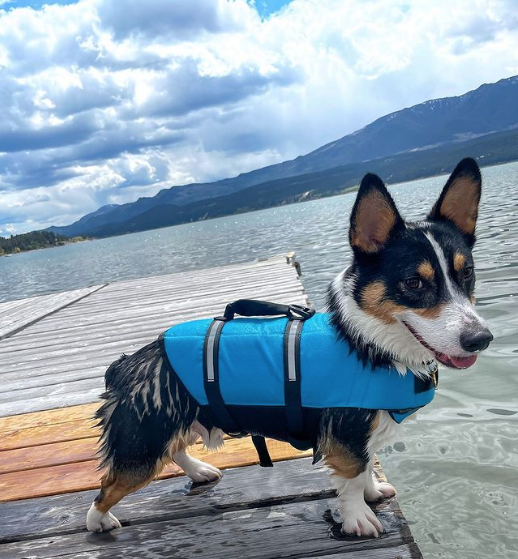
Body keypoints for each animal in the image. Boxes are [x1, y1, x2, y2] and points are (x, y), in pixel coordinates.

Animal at [87, 158, 494, 540]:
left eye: (468, 272)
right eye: (413, 282)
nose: (481, 339)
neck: (366, 342)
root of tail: (127, 365)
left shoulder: (365, 433)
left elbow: (366, 466)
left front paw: (373, 490)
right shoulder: (346, 436)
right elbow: (351, 477)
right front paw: (359, 518)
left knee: (174, 448)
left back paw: (199, 471)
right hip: (141, 445)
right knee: (108, 486)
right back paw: (98, 521)